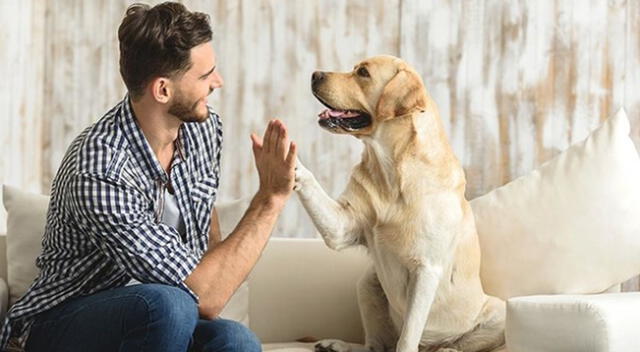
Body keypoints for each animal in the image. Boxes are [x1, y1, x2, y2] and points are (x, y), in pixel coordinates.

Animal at [294, 55, 504, 352]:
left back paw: (447, 348)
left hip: (498, 311)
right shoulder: (342, 227)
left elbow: (407, 338)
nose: (315, 74)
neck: (391, 170)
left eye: (363, 73)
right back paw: (338, 344)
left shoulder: (426, 269)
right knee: (375, 346)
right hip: (367, 283)